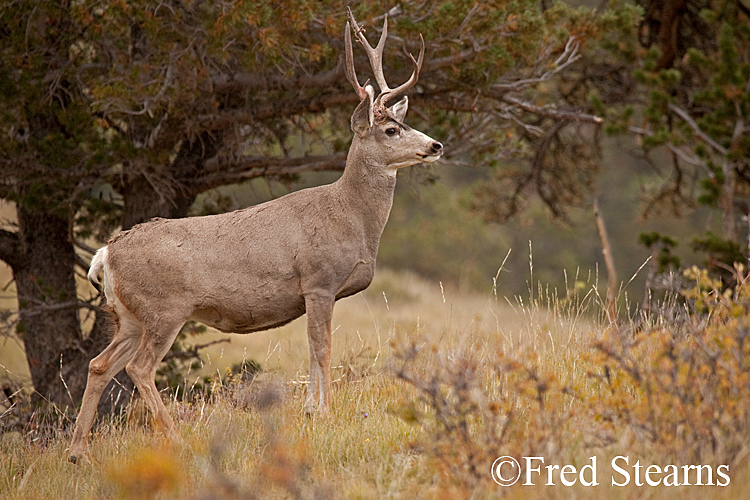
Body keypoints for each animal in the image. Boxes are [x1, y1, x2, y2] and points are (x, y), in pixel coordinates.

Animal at [67, 8, 443, 464]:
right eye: (390, 130)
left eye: (406, 122)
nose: (436, 145)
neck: (348, 216)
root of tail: (106, 253)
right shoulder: (319, 281)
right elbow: (322, 348)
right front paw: (322, 412)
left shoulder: (318, 291)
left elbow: (314, 348)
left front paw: (311, 411)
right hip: (164, 309)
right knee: (139, 367)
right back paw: (174, 438)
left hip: (128, 316)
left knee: (99, 365)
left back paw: (77, 452)